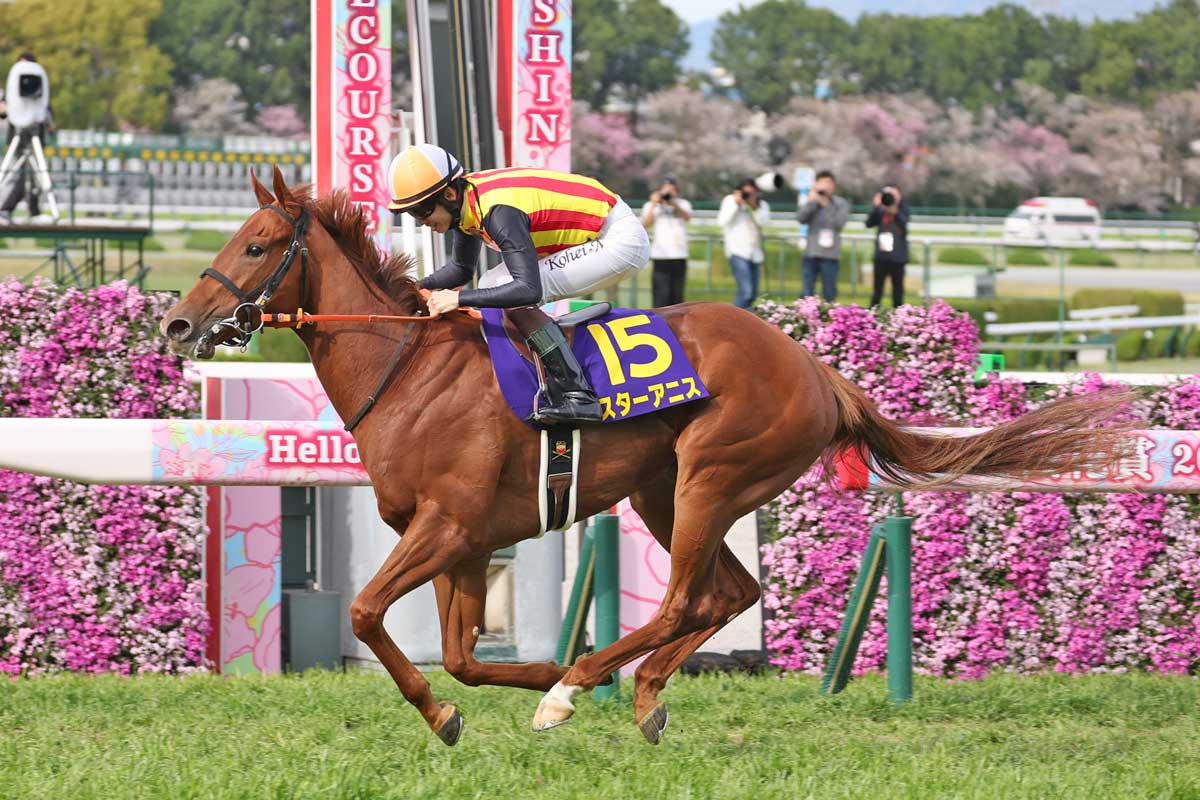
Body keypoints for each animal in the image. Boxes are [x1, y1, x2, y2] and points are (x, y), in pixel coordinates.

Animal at [162, 167, 1132, 746]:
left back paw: (584, 685)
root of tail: (816, 371)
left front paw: (485, 702)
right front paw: (478, 696)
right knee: (727, 595)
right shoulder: (465, 541)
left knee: (684, 600)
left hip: (712, 475)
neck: (409, 371)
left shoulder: (447, 525)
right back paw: (640, 691)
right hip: (665, 494)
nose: (176, 322)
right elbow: (463, 657)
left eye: (255, 245)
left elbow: (366, 614)